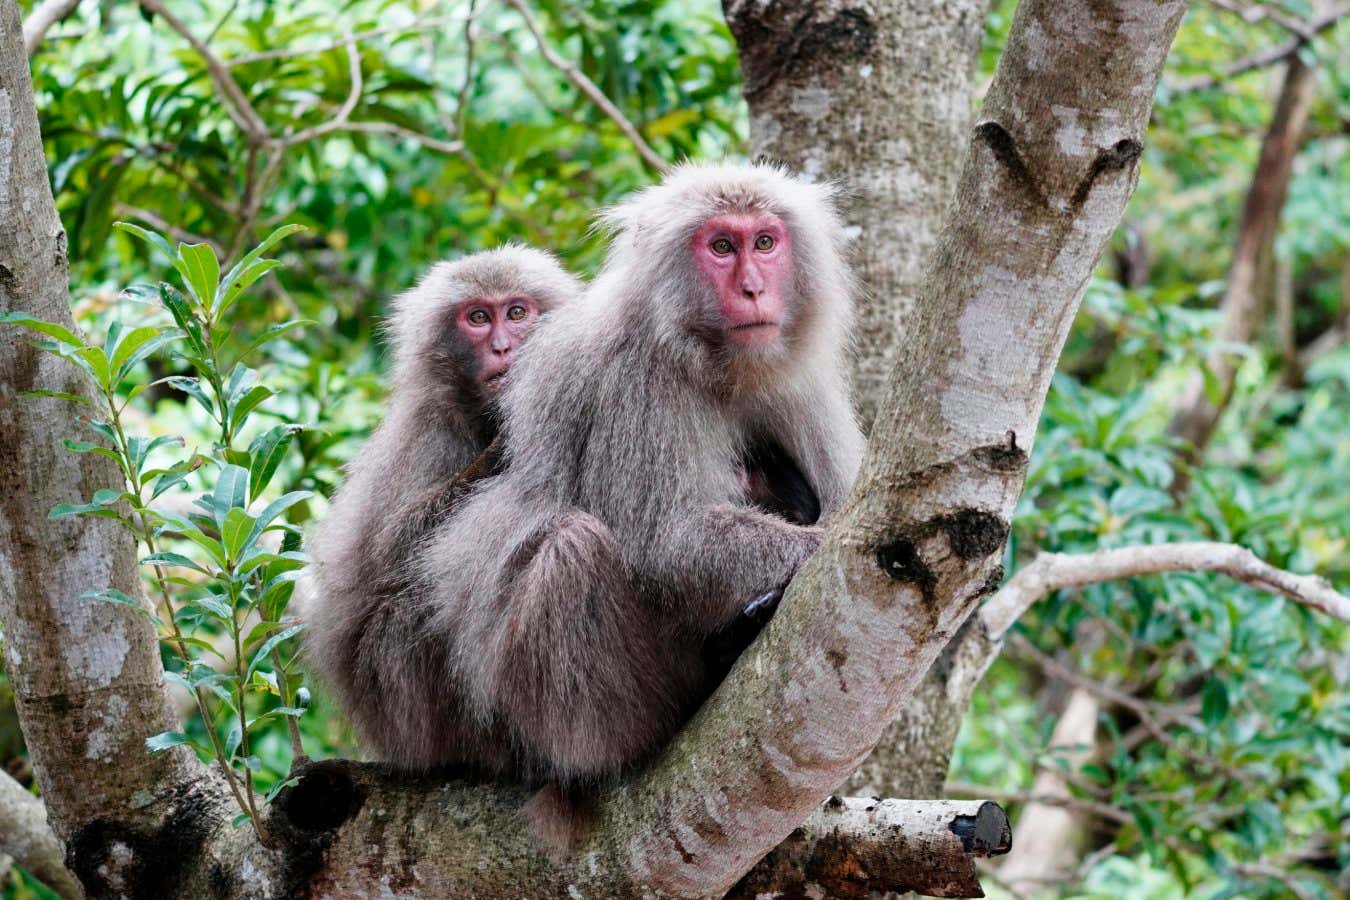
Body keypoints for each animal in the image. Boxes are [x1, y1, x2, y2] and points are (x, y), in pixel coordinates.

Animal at [306, 245, 581, 767]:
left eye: (517, 312)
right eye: (478, 318)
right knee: (414, 603)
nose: (503, 347)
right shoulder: (431, 431)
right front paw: (502, 453)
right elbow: (393, 557)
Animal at [411, 162, 863, 793]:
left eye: (764, 243)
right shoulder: (638, 384)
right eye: (721, 247)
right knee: (570, 549)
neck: (712, 361)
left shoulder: (799, 380)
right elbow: (664, 544)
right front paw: (819, 547)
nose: (753, 288)